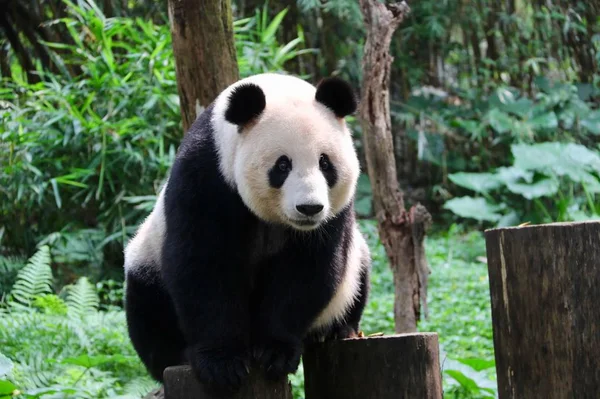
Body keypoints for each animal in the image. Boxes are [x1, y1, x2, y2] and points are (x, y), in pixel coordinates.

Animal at [123, 73, 370, 396]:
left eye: (325, 163)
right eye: (282, 164)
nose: (309, 208)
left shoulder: (334, 215)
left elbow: (307, 270)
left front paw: (275, 352)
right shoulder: (206, 175)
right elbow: (203, 265)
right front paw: (222, 364)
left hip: (354, 268)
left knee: (357, 278)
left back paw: (336, 330)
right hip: (147, 257)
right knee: (148, 308)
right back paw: (179, 355)